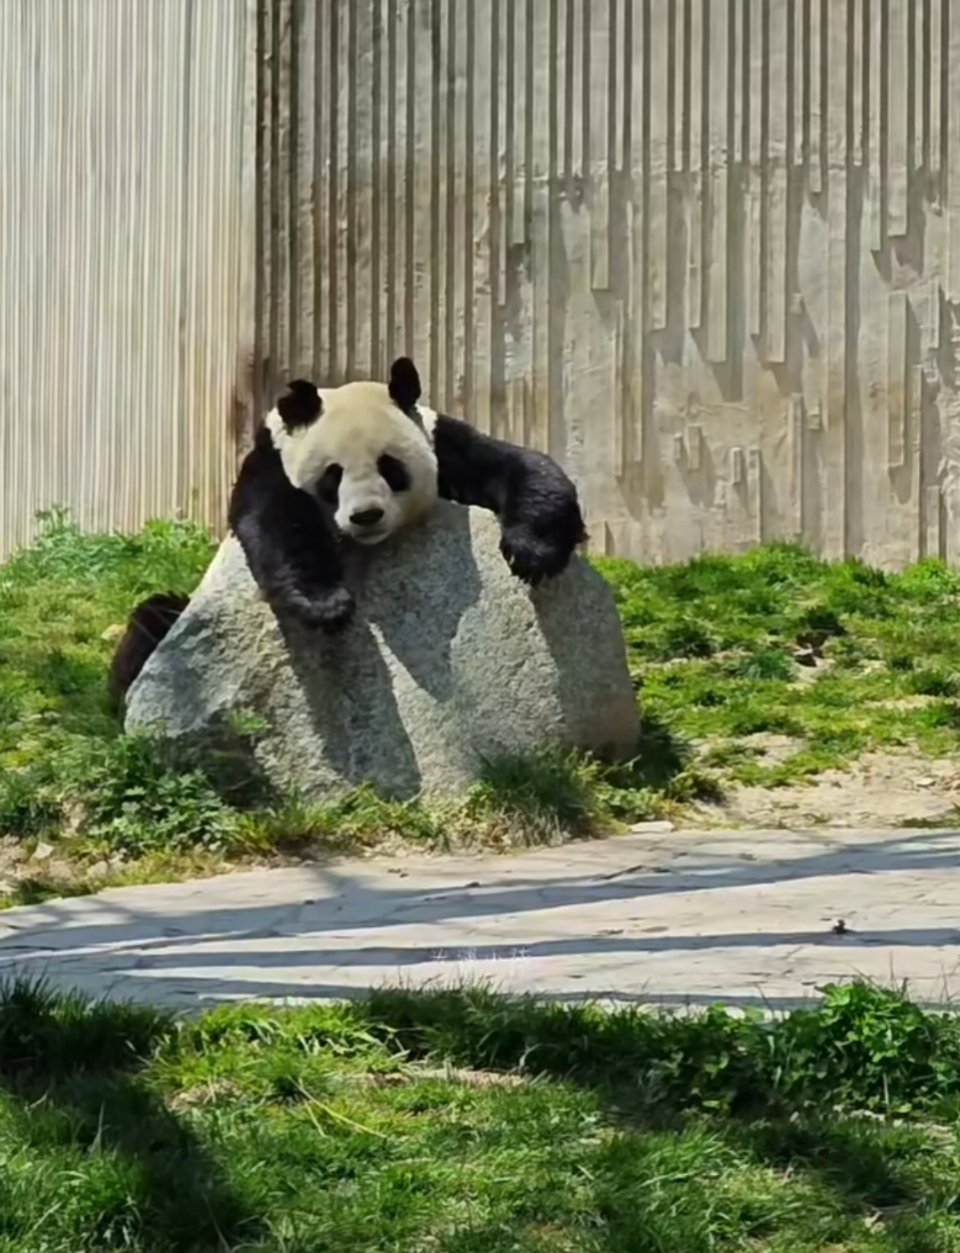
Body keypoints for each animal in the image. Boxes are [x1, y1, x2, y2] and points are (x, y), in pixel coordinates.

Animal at [106, 353, 586, 711]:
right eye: (332, 475)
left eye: (390, 468)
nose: (366, 516)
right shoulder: (271, 461)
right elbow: (278, 523)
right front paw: (325, 606)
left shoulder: (440, 440)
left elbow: (518, 464)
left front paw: (533, 552)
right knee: (154, 621)